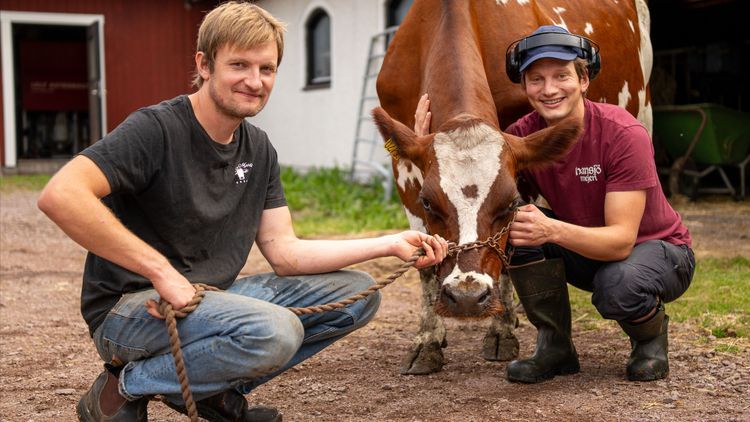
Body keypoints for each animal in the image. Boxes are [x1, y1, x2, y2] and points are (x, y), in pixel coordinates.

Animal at [372, 0, 652, 375]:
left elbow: (510, 257)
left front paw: (502, 331)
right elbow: (426, 265)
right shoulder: (403, 168)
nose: (466, 297)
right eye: (428, 203)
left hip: (645, 110)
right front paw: (427, 342)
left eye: (510, 204)